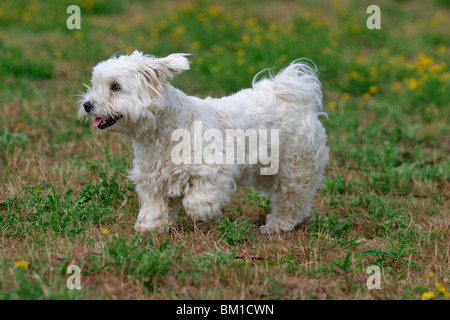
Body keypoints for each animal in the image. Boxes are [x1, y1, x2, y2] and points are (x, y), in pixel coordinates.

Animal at [79, 51, 328, 234]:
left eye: (115, 86)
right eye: (96, 85)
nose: (87, 105)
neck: (167, 132)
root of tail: (294, 96)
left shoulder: (215, 170)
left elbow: (197, 200)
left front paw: (207, 214)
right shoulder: (152, 178)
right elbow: (154, 205)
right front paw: (151, 226)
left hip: (295, 170)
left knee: (292, 201)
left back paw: (278, 225)